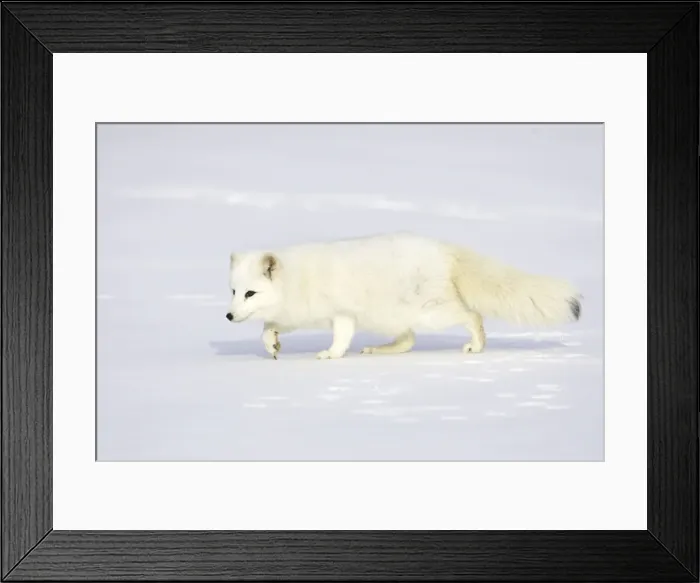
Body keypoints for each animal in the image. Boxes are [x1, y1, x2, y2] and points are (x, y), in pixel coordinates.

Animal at [225, 232, 581, 360]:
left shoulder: (342, 313)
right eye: (233, 291)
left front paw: (330, 355)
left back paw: (476, 346)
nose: (228, 315)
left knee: (472, 315)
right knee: (408, 341)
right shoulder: (299, 313)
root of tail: (445, 249)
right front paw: (272, 345)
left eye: (250, 292)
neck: (299, 279)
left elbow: (340, 339)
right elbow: (267, 328)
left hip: (432, 312)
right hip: (394, 317)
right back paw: (378, 350)